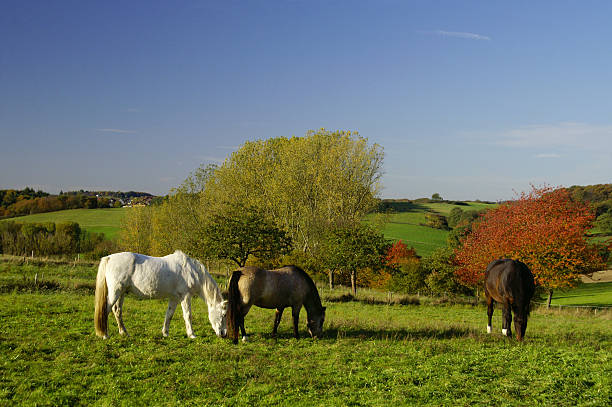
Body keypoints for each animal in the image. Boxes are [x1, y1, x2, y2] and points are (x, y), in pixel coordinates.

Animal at [94, 250, 228, 340]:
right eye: (224, 314)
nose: (224, 334)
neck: (191, 271)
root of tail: (109, 258)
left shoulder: (174, 298)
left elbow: (169, 315)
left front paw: (165, 333)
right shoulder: (185, 296)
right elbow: (188, 315)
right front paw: (192, 334)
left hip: (121, 293)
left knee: (117, 311)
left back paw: (124, 333)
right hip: (115, 292)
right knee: (106, 310)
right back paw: (105, 335)